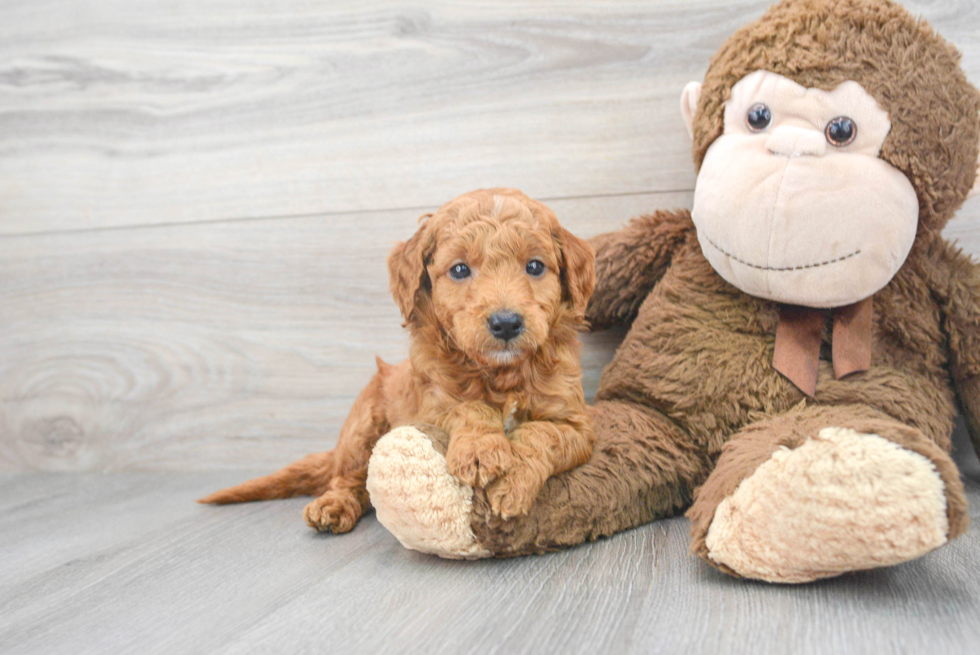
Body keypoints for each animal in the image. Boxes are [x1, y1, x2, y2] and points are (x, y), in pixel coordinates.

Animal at [199, 186, 592, 532]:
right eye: (460, 269)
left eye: (535, 266)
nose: (506, 322)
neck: (500, 372)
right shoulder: (430, 407)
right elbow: (468, 407)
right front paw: (481, 450)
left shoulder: (577, 425)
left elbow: (541, 433)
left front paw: (513, 482)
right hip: (362, 427)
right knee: (349, 479)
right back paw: (332, 507)